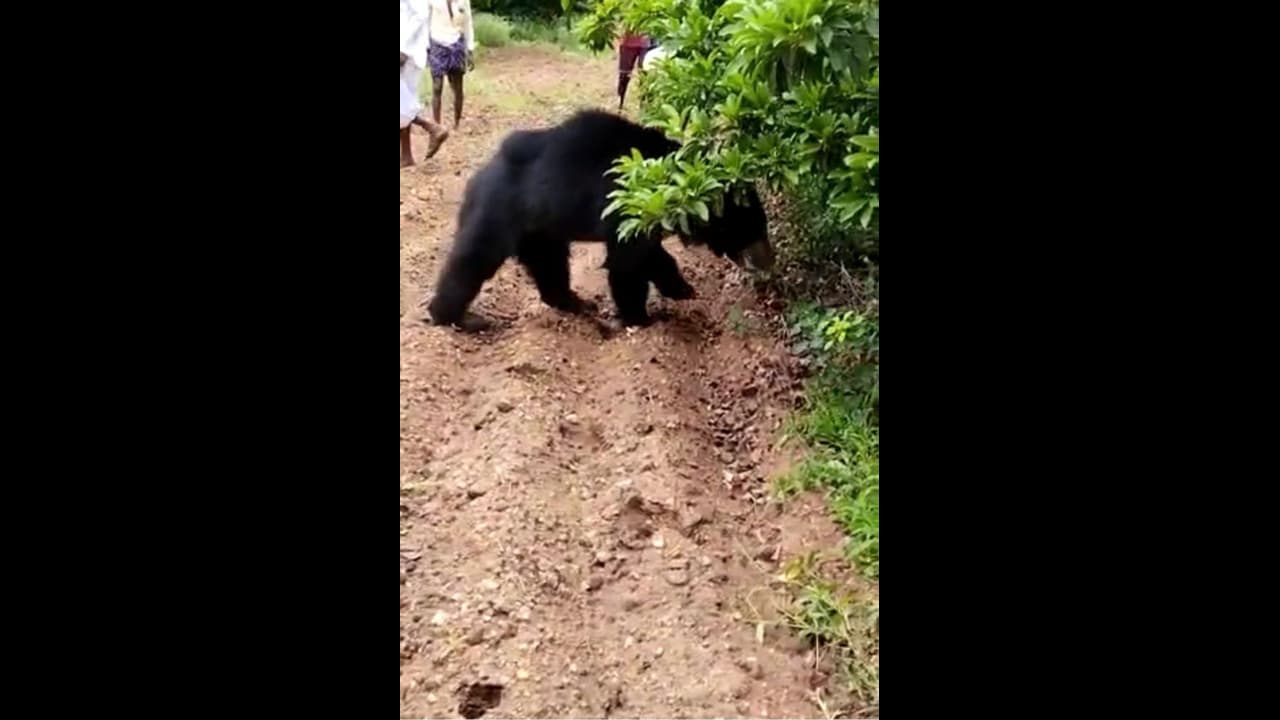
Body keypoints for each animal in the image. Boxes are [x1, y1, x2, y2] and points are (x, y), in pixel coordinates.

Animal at [425, 110, 774, 331]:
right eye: (754, 229)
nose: (768, 263)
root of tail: (479, 175)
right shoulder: (625, 205)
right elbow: (628, 263)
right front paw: (640, 319)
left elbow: (652, 255)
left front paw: (682, 289)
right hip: (500, 210)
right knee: (474, 259)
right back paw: (455, 317)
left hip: (540, 229)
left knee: (550, 265)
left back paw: (575, 303)